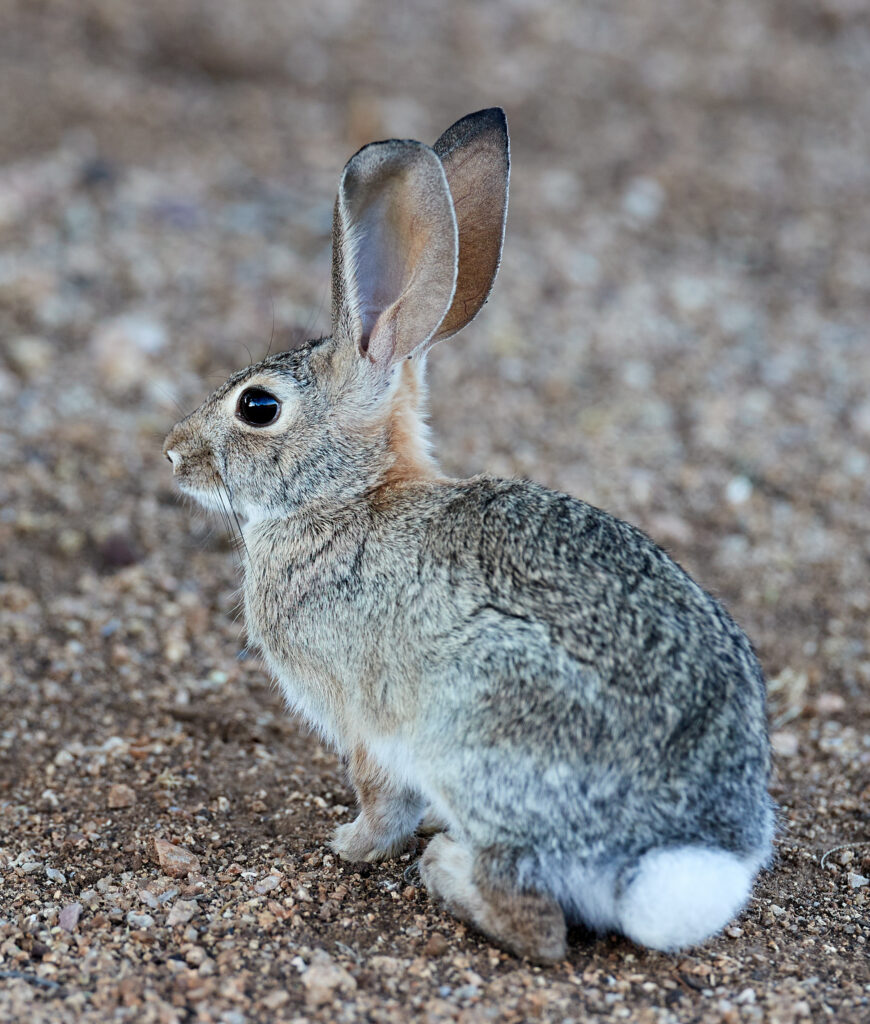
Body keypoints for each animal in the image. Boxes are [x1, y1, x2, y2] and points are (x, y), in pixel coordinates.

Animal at [163, 108, 775, 964]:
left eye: (258, 407)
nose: (171, 452)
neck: (348, 497)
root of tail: (688, 860)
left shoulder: (365, 721)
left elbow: (381, 802)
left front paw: (348, 844)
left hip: (480, 733)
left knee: (539, 925)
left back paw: (447, 870)